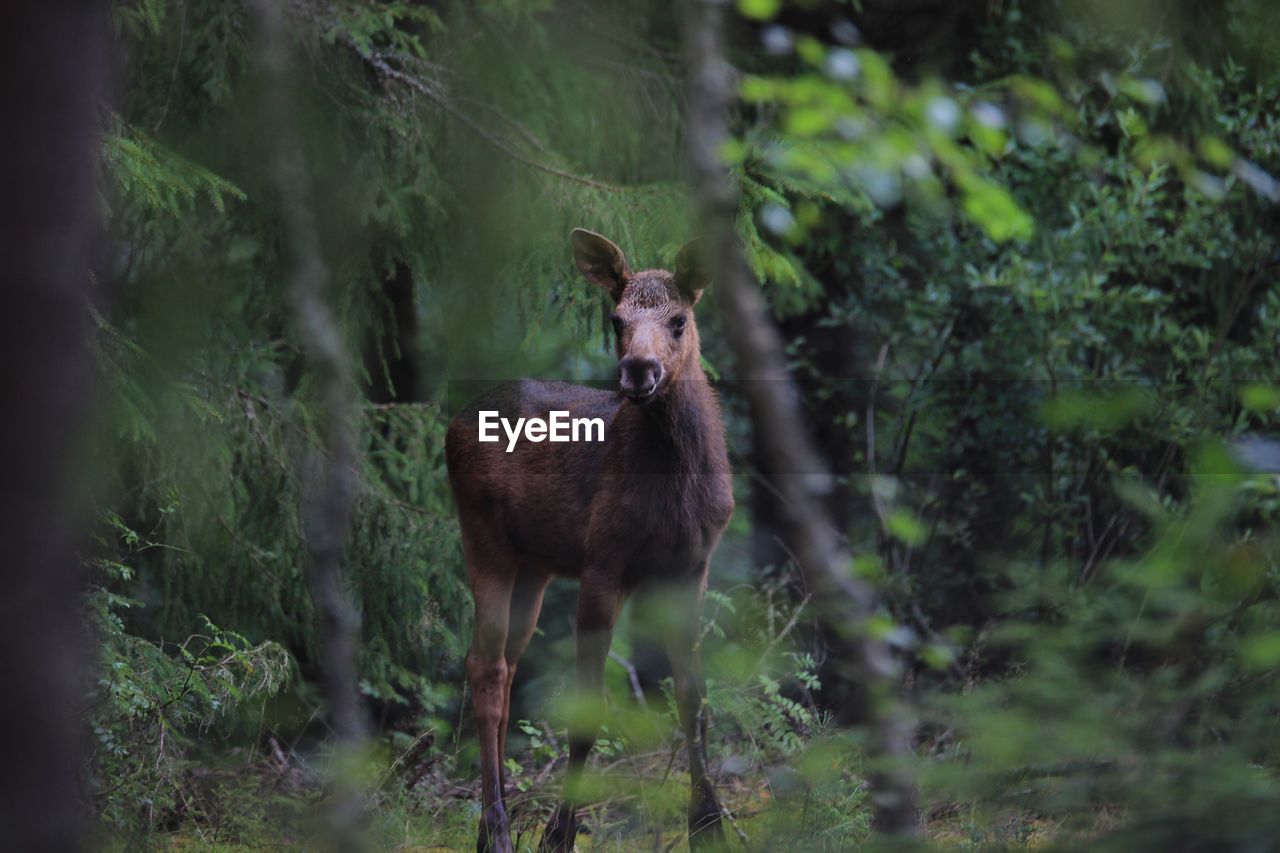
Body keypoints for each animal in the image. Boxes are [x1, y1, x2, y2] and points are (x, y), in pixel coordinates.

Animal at [445, 229, 737, 845]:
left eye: (679, 319)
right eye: (615, 318)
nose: (638, 370)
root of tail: (454, 421)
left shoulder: (692, 567)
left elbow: (693, 697)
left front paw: (708, 825)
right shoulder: (605, 561)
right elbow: (588, 708)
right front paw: (560, 833)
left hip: (534, 565)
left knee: (506, 664)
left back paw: (496, 819)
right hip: (482, 537)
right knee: (484, 665)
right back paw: (497, 828)